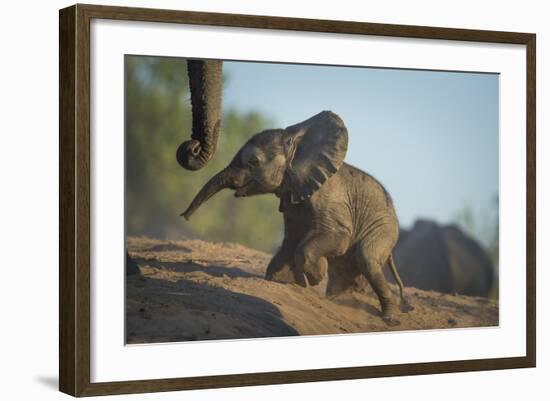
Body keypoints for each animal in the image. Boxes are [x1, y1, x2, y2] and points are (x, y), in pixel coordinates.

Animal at [183, 111, 412, 324]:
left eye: (254, 162)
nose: (184, 216)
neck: (297, 146)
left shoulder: (328, 199)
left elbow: (336, 237)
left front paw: (315, 277)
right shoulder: (292, 200)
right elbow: (291, 239)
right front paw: (283, 280)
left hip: (384, 228)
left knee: (366, 258)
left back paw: (389, 317)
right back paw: (337, 300)